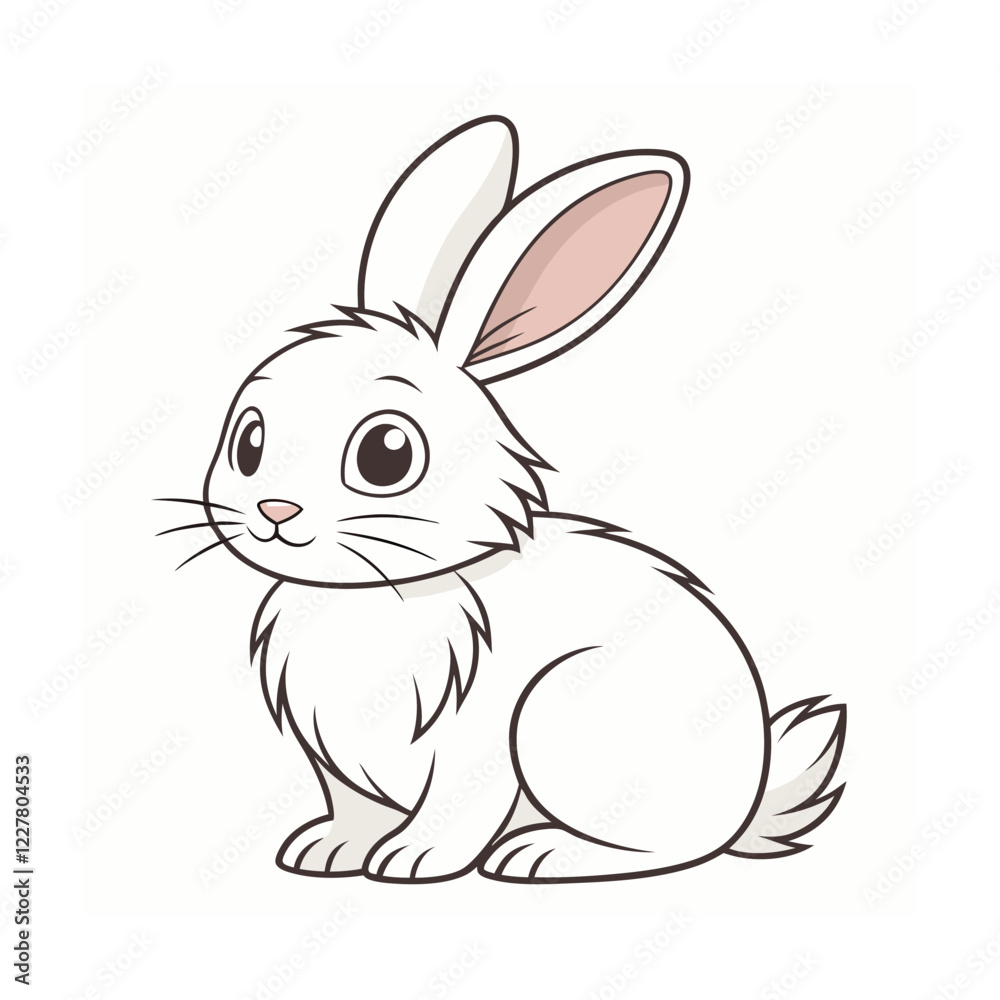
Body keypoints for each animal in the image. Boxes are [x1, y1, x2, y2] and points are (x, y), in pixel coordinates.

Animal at [168, 116, 845, 883]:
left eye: (386, 454)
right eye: (249, 442)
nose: (275, 513)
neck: (380, 591)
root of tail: (750, 798)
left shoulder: (475, 732)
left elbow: (456, 803)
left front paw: (411, 860)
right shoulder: (333, 759)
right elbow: (351, 807)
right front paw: (327, 851)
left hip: (559, 722)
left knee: (666, 848)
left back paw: (541, 854)